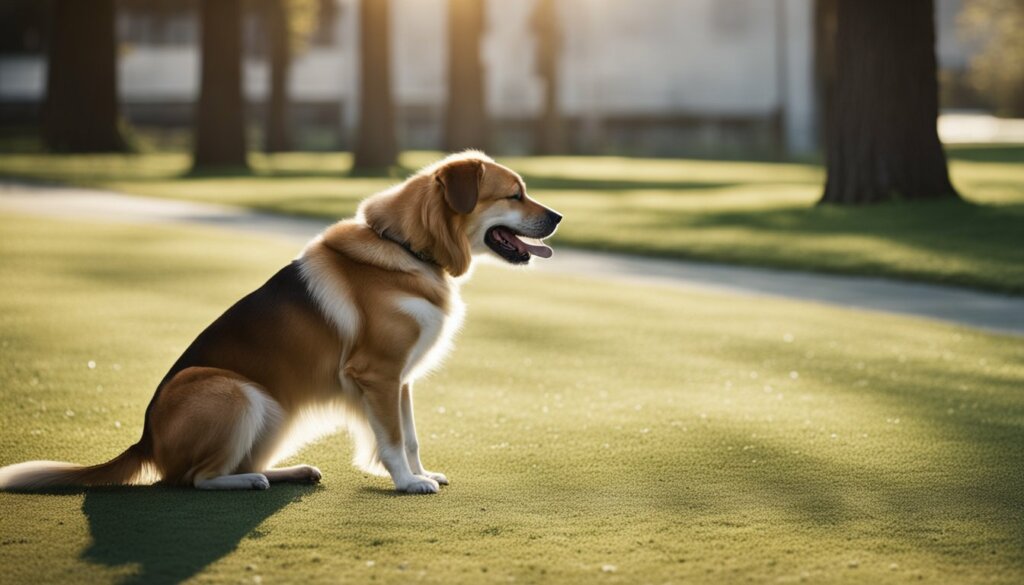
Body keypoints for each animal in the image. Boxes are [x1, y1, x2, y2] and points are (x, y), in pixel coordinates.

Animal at [0, 152, 561, 493]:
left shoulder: (400, 381)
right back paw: (247, 482)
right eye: (514, 193)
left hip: (274, 411)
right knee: (191, 479)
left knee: (237, 462)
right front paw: (406, 483)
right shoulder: (377, 374)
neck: (406, 248)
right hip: (230, 390)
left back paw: (292, 471)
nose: (557, 217)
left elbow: (412, 435)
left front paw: (422, 473)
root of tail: (145, 439)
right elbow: (392, 439)